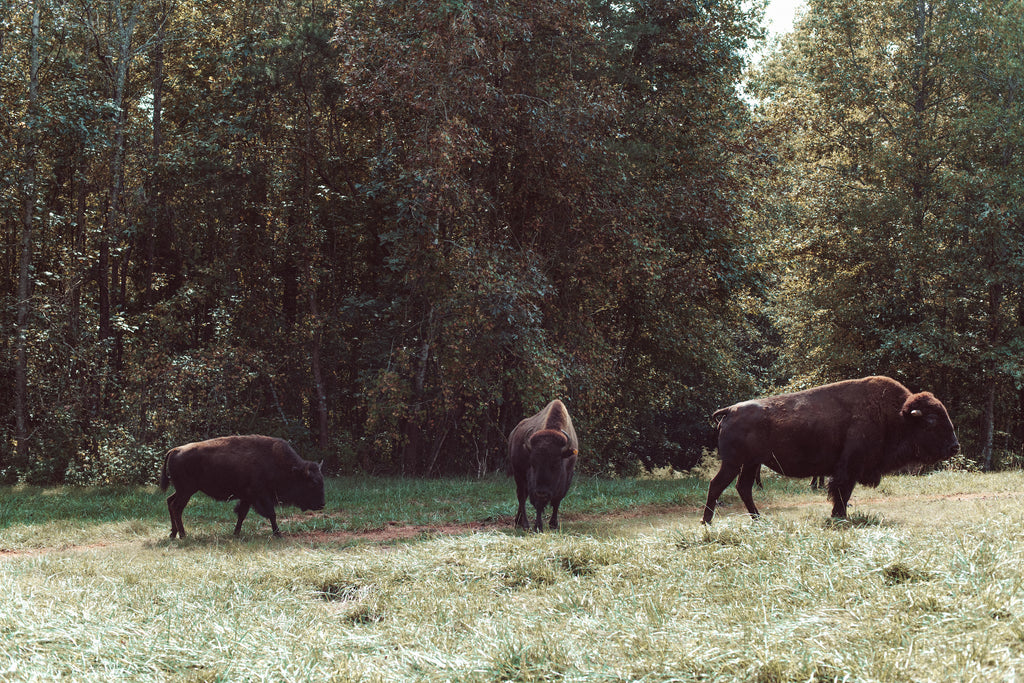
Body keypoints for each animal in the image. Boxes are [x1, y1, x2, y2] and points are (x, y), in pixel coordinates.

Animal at [158, 438, 323, 540]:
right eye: (312, 483)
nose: (322, 504)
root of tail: (175, 450)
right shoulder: (261, 496)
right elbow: (272, 514)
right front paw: (278, 534)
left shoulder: (247, 498)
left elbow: (242, 515)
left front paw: (236, 534)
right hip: (186, 491)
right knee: (176, 507)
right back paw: (183, 535)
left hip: (182, 490)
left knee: (169, 502)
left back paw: (173, 534)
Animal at [507, 401, 581, 532]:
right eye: (532, 463)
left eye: (556, 463)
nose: (542, 492)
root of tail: (513, 432)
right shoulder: (533, 485)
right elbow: (538, 504)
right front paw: (538, 526)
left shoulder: (567, 478)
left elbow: (557, 501)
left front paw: (553, 524)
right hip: (518, 473)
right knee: (521, 497)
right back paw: (525, 524)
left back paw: (518, 522)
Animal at [704, 376, 958, 528]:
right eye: (931, 421)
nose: (954, 447)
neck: (896, 415)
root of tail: (731, 410)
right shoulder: (848, 468)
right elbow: (841, 492)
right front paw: (839, 517)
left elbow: (843, 493)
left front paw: (839, 516)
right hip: (733, 462)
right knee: (717, 485)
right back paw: (707, 523)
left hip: (751, 463)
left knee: (743, 487)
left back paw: (758, 520)